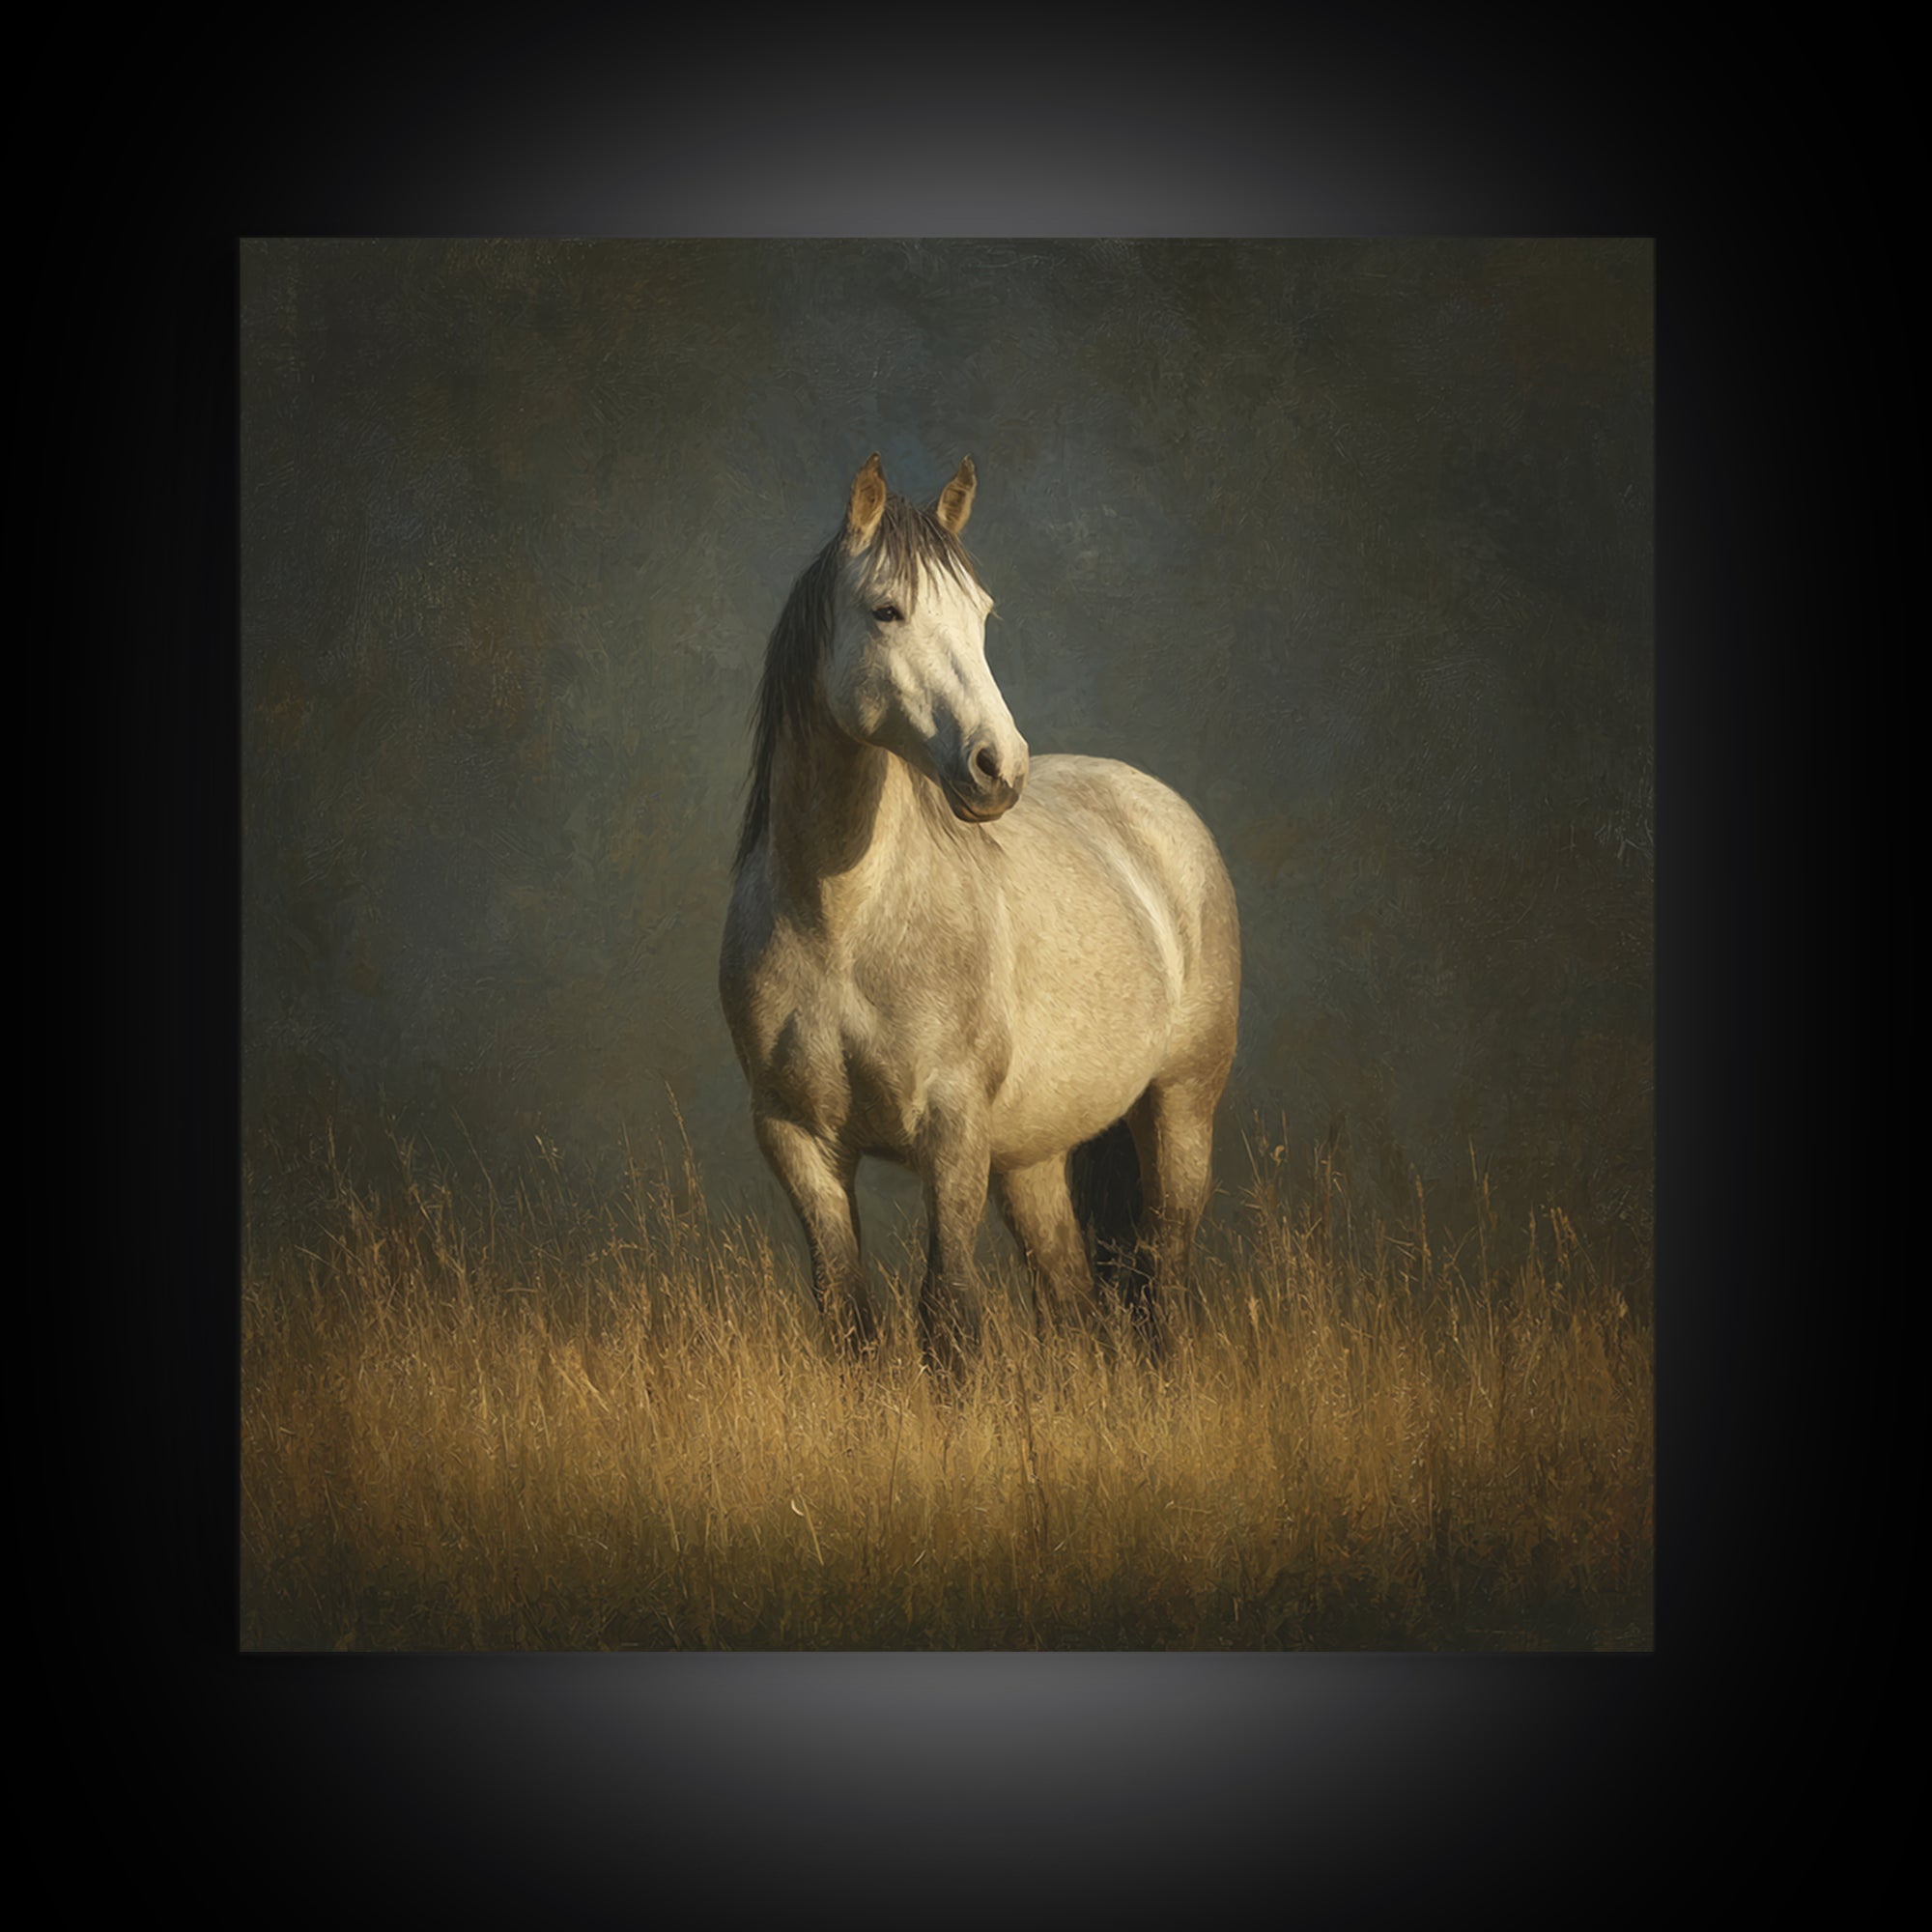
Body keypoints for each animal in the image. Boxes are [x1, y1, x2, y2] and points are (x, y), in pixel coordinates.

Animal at [719, 452, 1241, 1369]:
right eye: (886, 610)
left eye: (982, 614)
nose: (999, 767)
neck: (843, 924)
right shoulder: (797, 1138)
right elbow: (849, 1318)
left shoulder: (952, 1126)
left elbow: (949, 1313)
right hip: (1032, 1157)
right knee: (1071, 1298)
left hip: (1180, 1108)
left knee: (1162, 1278)